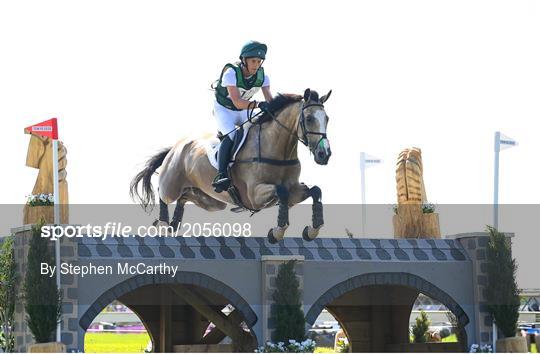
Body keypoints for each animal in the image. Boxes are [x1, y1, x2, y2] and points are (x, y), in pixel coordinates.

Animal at [131, 88, 334, 243]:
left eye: (327, 119)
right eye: (309, 119)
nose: (324, 154)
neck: (277, 148)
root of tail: (176, 146)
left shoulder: (293, 190)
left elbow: (315, 191)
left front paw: (311, 231)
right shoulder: (254, 195)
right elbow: (281, 192)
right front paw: (277, 233)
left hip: (212, 201)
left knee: (185, 197)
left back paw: (173, 224)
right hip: (171, 185)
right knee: (164, 195)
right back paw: (163, 225)